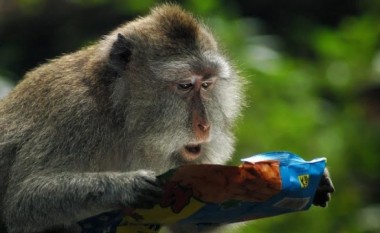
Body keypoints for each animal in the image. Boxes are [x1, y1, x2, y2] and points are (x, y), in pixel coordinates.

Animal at [0, 4, 332, 233]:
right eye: (185, 86)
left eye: (206, 85)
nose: (204, 126)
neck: (119, 117)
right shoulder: (73, 117)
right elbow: (21, 202)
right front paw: (126, 186)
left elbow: (190, 221)